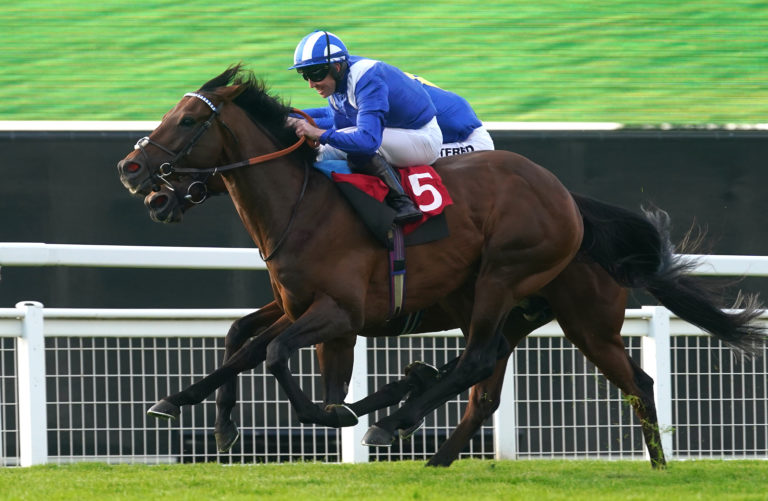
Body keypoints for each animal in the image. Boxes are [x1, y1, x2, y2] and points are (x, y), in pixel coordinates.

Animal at [117, 64, 764, 466]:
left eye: (187, 121)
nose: (133, 172)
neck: (305, 205)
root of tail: (568, 200)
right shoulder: (296, 303)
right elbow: (241, 339)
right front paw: (202, 413)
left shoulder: (340, 311)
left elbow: (273, 354)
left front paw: (334, 413)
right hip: (519, 310)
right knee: (491, 382)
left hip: (528, 289)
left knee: (509, 365)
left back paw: (398, 418)